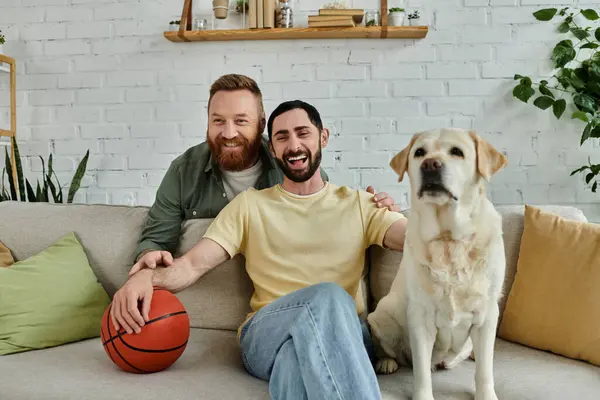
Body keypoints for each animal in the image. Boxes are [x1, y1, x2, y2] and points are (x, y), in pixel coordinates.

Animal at [368, 128, 508, 400]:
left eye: (457, 152)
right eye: (419, 152)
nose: (430, 164)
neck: (448, 238)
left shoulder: (487, 314)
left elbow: (485, 370)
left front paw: (485, 394)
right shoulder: (420, 318)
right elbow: (421, 372)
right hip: (382, 314)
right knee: (388, 348)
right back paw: (386, 362)